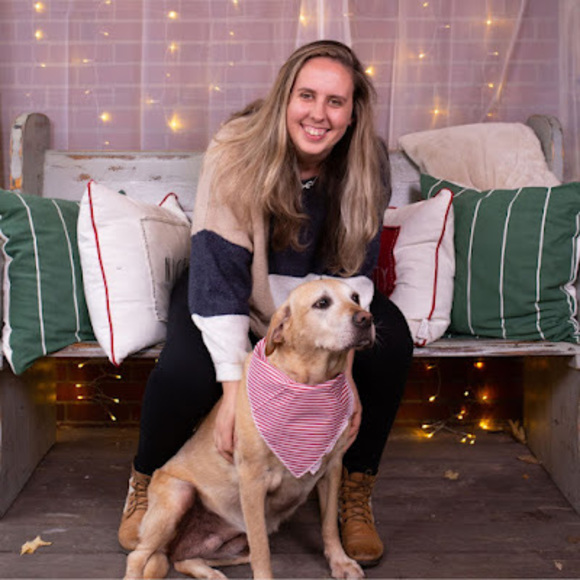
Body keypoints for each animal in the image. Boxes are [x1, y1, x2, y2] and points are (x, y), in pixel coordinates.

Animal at [124, 278, 375, 579]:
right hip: (178, 495)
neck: (310, 383)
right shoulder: (253, 481)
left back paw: (211, 574)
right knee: (138, 557)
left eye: (356, 297)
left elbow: (328, 526)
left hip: (231, 546)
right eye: (322, 303)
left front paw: (340, 562)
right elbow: (262, 550)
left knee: (186, 559)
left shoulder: (332, 468)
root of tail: (172, 547)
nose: (366, 318)